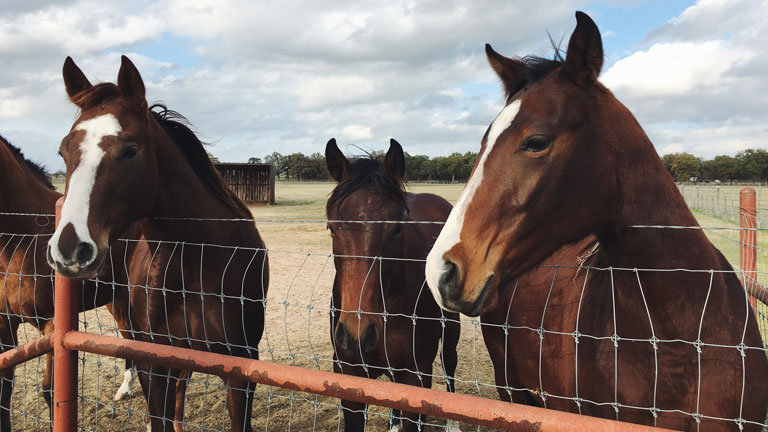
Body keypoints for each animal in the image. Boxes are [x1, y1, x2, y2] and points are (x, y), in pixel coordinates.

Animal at [47, 56, 270, 432]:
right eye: (63, 151)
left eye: (130, 151)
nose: (70, 249)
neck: (200, 260)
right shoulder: (156, 365)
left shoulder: (240, 370)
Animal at [326, 140, 460, 430]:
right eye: (331, 227)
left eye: (397, 228)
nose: (357, 335)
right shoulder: (349, 376)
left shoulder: (416, 377)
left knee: (450, 363)